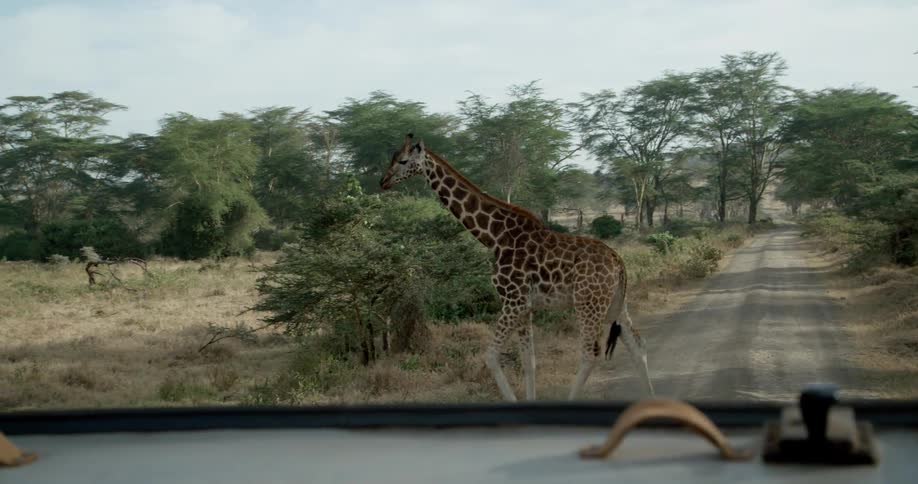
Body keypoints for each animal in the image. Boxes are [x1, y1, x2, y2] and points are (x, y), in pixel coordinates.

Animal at [380, 134, 654, 401]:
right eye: (392, 157)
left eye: (403, 161)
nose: (383, 181)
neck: (494, 236)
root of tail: (618, 261)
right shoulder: (525, 306)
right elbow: (528, 361)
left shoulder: (513, 300)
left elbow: (491, 356)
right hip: (615, 305)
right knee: (638, 346)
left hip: (588, 303)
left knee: (590, 354)